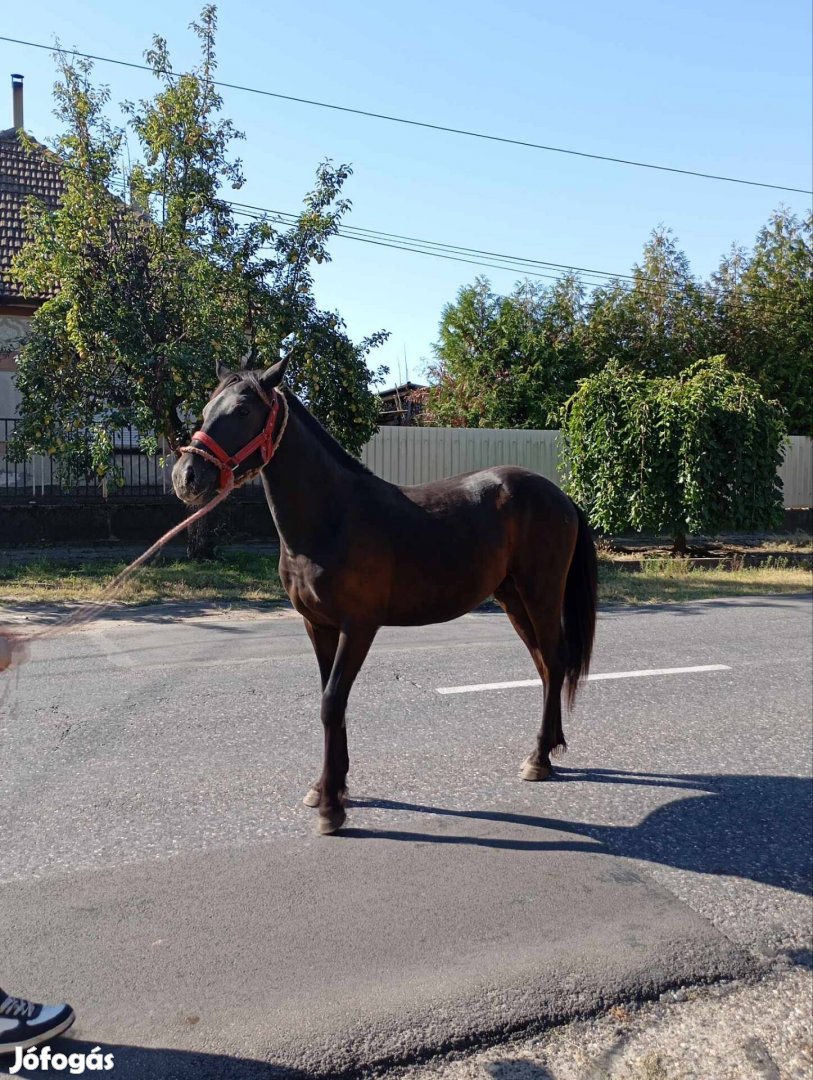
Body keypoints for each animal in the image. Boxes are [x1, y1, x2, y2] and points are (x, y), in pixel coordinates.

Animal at [172, 354, 595, 833]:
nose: (187, 478)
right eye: (207, 407)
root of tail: (560, 496)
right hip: (512, 599)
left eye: (243, 410)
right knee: (545, 665)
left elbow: (332, 703)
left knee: (555, 661)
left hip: (540, 593)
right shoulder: (318, 626)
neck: (332, 517)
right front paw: (327, 788)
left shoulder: (358, 628)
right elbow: (330, 702)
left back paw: (539, 758)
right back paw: (549, 748)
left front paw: (332, 807)